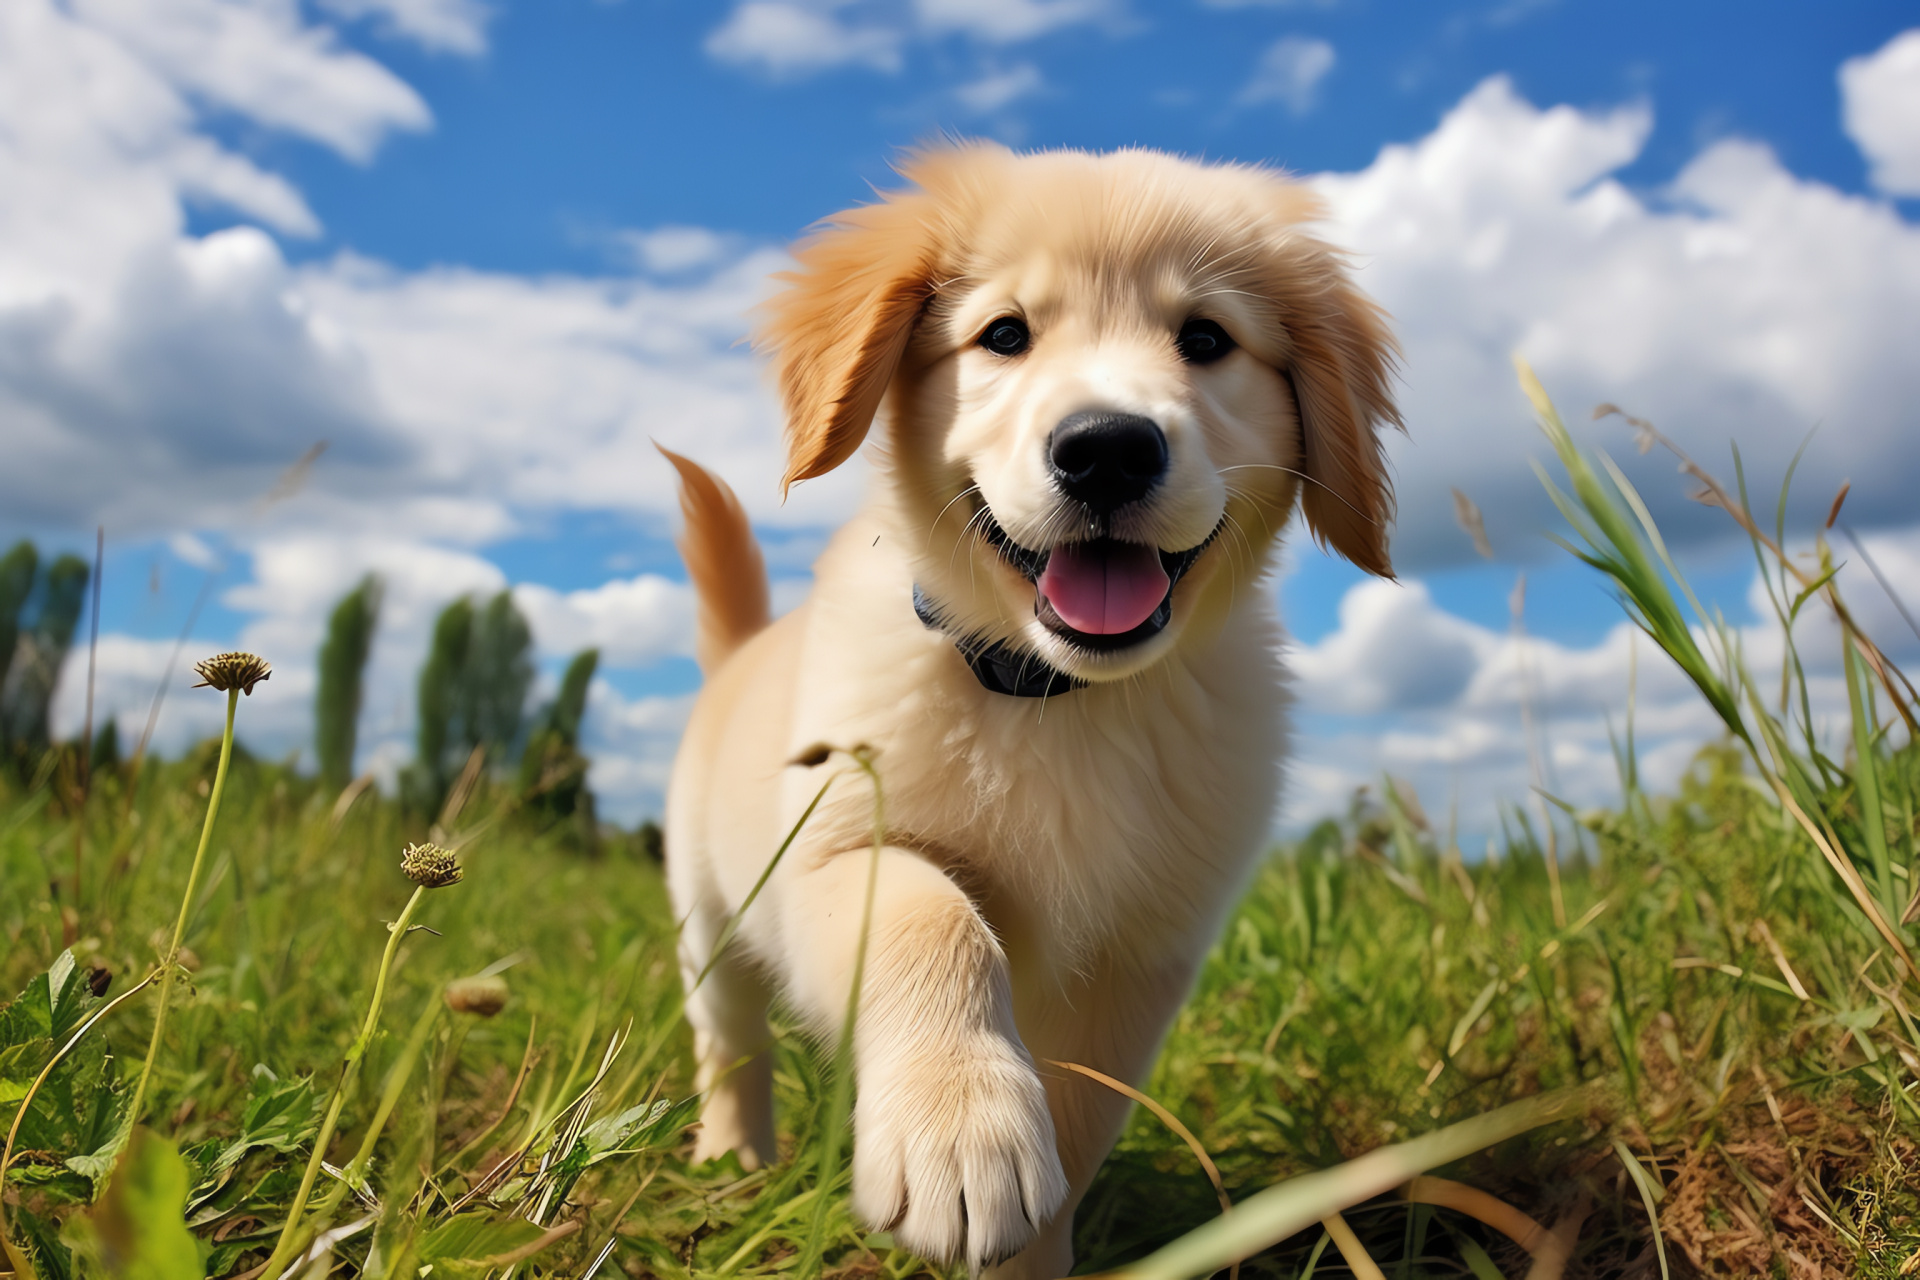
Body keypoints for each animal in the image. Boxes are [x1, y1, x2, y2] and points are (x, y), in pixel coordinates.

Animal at [660, 142, 1397, 1280]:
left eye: (1206, 340)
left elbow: (1078, 1123)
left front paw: (1030, 1245)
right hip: (710, 915)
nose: (1107, 448)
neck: (1058, 697)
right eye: (1005, 334)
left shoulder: (1140, 960)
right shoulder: (831, 855)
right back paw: (734, 1159)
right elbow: (932, 917)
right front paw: (960, 1129)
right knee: (731, 1040)